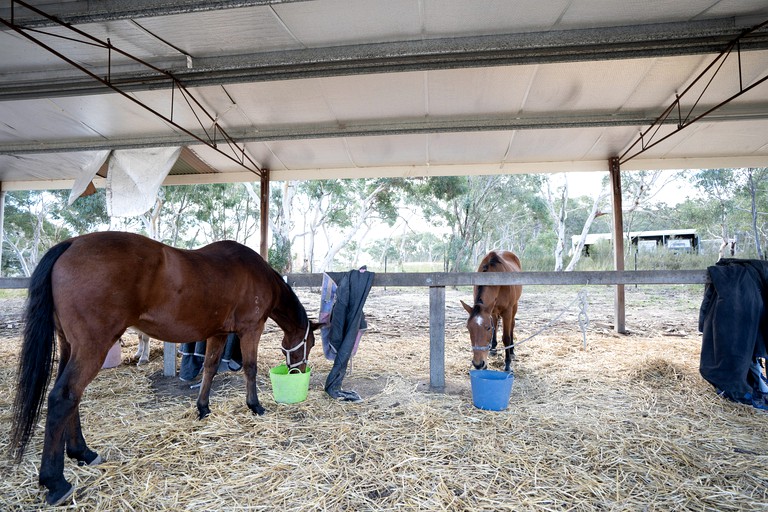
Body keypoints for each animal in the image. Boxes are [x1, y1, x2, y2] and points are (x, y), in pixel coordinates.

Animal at [8, 233, 318, 508]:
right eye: (311, 343)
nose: (298, 371)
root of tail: (71, 244)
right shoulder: (250, 329)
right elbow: (250, 369)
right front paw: (255, 405)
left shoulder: (218, 333)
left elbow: (210, 368)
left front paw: (203, 408)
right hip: (92, 347)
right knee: (63, 397)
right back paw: (56, 482)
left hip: (70, 347)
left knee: (72, 399)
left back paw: (82, 453)